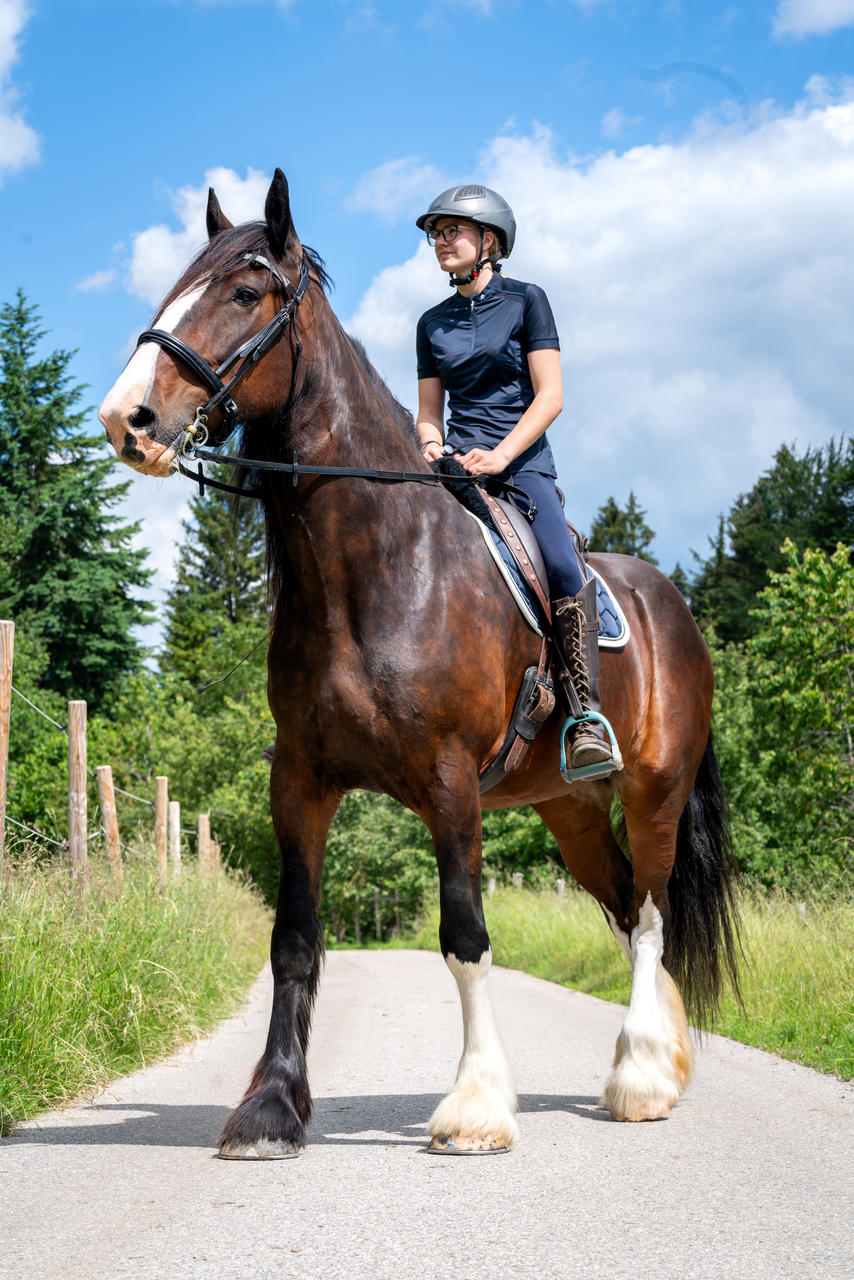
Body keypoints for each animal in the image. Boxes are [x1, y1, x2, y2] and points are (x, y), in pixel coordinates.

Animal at [99, 168, 740, 1157]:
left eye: (244, 294)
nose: (125, 419)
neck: (378, 568)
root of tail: (670, 602)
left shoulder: (449, 781)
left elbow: (466, 937)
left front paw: (475, 1108)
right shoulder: (301, 781)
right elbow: (294, 940)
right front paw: (270, 1108)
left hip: (655, 789)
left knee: (651, 915)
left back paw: (639, 1077)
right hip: (571, 812)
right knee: (628, 903)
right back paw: (657, 1066)